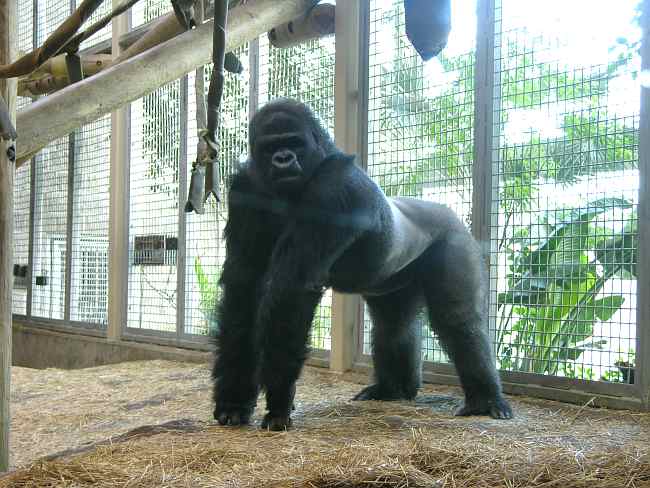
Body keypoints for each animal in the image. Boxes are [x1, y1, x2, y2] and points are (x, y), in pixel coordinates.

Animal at [213, 97, 512, 428]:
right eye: (270, 147)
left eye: (294, 142)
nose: (283, 159)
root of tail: (446, 209)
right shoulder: (245, 189)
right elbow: (244, 285)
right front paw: (234, 399)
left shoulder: (334, 187)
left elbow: (291, 289)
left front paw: (278, 402)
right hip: (395, 276)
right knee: (393, 325)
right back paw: (394, 389)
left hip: (455, 236)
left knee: (457, 320)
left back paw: (485, 399)